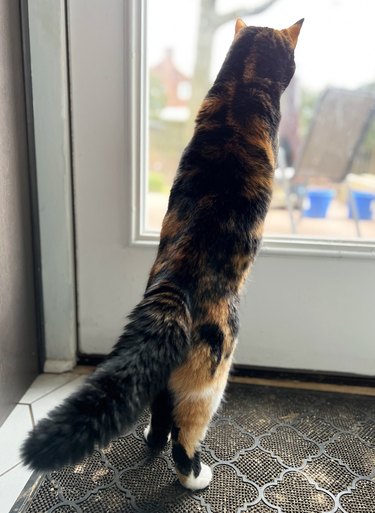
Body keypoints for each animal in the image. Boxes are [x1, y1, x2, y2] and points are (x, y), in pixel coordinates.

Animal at [20, 18, 304, 490]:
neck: (239, 92)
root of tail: (173, 289)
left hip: (158, 377)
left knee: (159, 415)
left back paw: (153, 441)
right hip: (210, 383)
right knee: (184, 436)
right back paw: (196, 476)